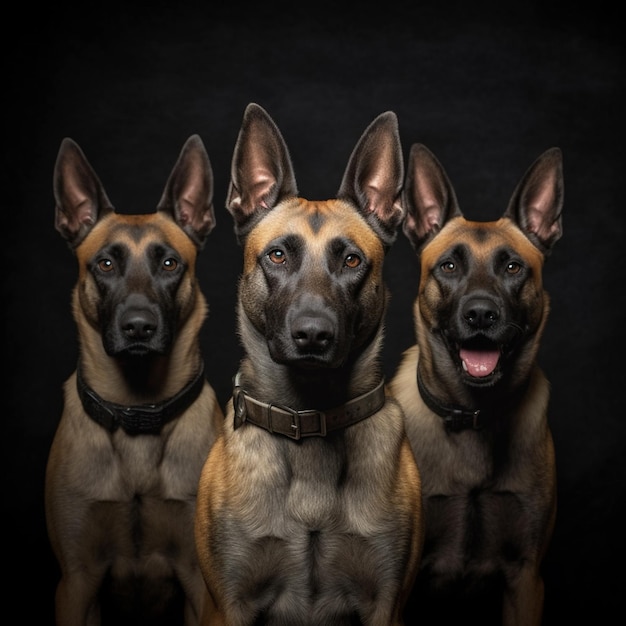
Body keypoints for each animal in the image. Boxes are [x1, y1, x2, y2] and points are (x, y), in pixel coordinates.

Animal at [45, 135, 224, 624]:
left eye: (169, 263)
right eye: (106, 264)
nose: (139, 327)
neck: (138, 410)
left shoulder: (201, 585)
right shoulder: (76, 583)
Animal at [193, 105, 422, 620]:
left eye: (352, 261)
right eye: (277, 255)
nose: (313, 334)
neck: (310, 417)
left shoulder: (386, 601)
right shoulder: (229, 603)